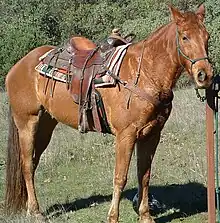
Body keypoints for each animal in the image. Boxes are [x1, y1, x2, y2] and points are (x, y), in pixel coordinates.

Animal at [3, 3, 213, 223]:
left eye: (207, 36)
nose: (204, 75)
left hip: (46, 126)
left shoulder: (152, 134)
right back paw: (36, 211)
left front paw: (145, 215)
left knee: (33, 164)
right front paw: (113, 217)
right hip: (27, 124)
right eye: (185, 37)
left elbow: (144, 175)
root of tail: (18, 66)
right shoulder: (125, 135)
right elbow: (120, 177)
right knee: (27, 165)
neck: (146, 74)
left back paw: (30, 208)